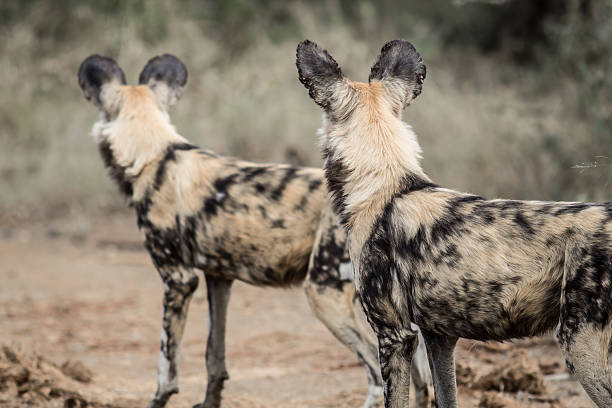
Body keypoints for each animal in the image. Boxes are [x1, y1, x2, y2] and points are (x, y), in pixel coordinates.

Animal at [76, 55, 430, 408]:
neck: (153, 155)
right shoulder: (219, 278)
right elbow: (214, 357)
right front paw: (210, 403)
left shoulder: (178, 279)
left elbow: (166, 366)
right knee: (423, 382)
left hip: (324, 293)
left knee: (374, 374)